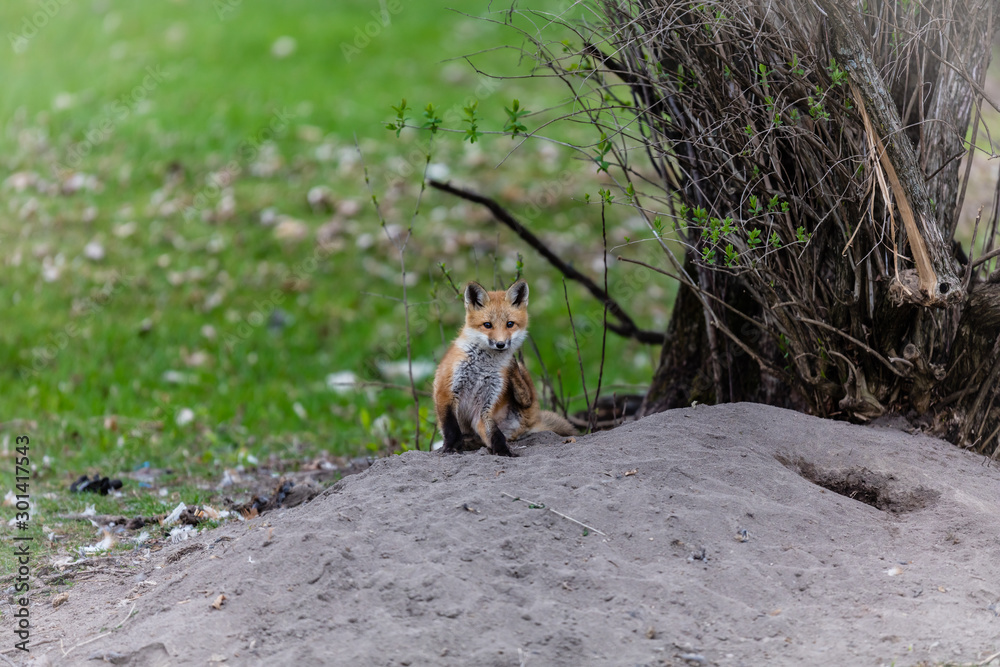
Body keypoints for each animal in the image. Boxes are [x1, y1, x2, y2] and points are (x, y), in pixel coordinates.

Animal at [432, 279, 576, 457]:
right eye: (487, 325)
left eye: (510, 324)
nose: (500, 344)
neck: (482, 366)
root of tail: (533, 422)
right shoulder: (446, 391)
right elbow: (451, 427)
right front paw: (451, 447)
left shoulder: (485, 404)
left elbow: (494, 433)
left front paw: (503, 451)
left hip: (521, 386)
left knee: (527, 398)